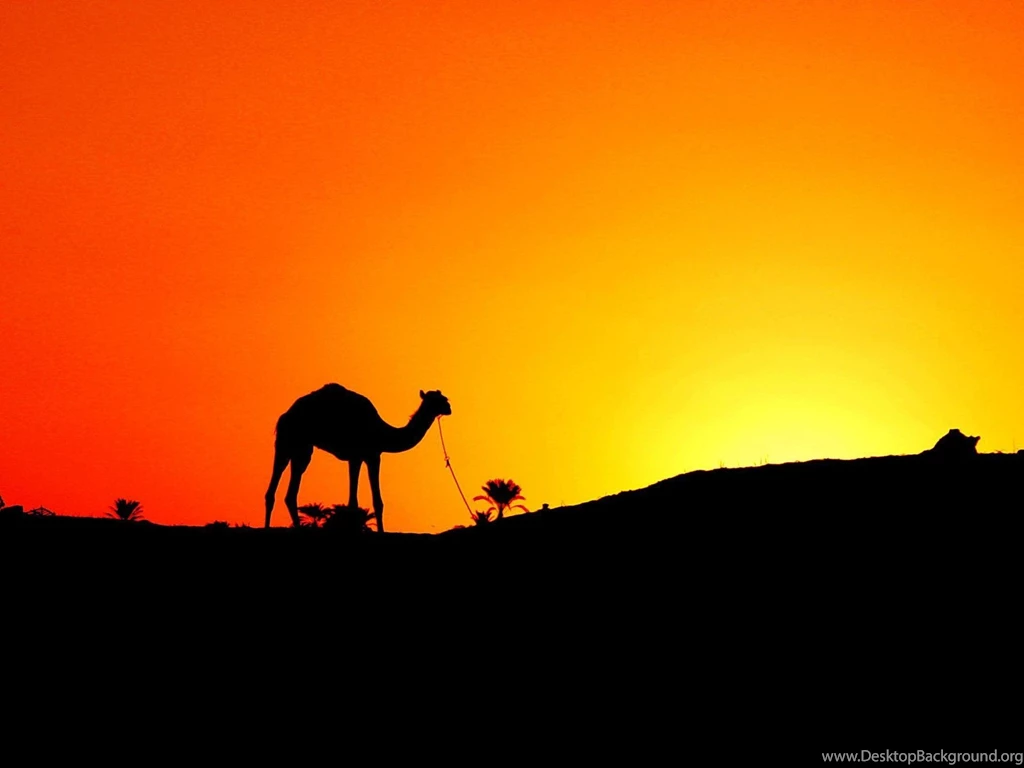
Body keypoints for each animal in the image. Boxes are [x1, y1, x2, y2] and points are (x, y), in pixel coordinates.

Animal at [264, 384, 452, 532]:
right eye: (438, 400)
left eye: (443, 398)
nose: (449, 408)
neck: (383, 432)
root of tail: (285, 416)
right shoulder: (372, 455)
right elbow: (376, 502)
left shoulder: (356, 457)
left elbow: (353, 502)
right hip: (292, 441)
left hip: (299, 448)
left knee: (286, 489)